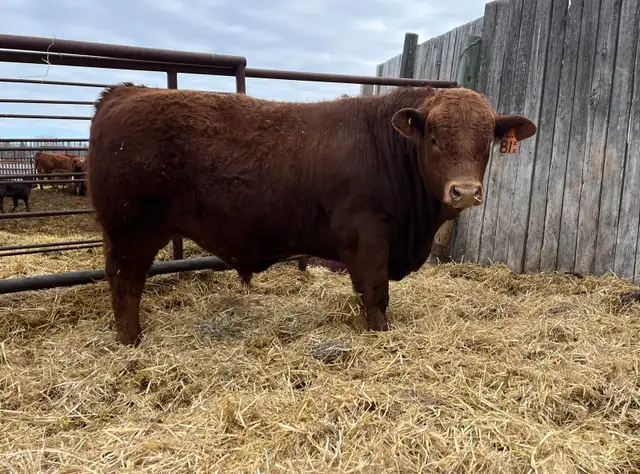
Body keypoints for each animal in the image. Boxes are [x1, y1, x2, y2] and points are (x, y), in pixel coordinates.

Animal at [87, 82, 536, 346]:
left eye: (487, 141)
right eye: (433, 137)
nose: (465, 191)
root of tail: (125, 92)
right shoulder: (368, 236)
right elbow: (375, 292)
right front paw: (381, 336)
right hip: (132, 230)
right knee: (125, 283)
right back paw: (131, 341)